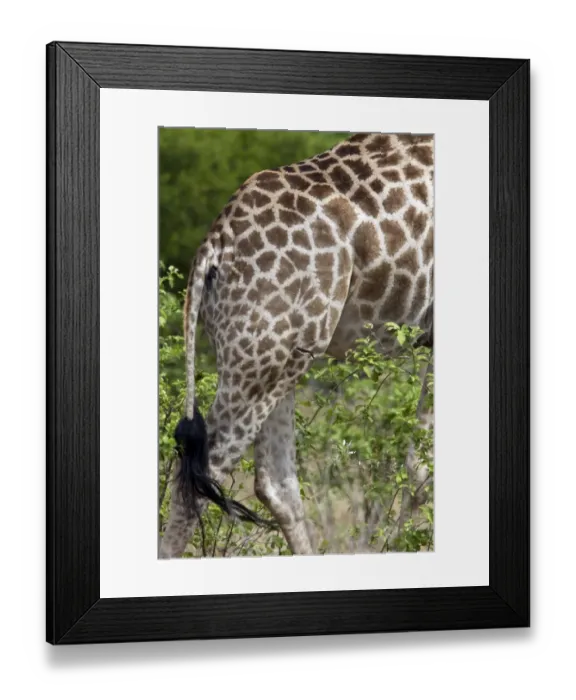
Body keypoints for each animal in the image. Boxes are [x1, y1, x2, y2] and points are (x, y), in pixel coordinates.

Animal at [159, 132, 434, 559]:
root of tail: (213, 246)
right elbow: (422, 469)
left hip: (276, 355)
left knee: (273, 480)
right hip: (265, 354)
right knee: (205, 474)